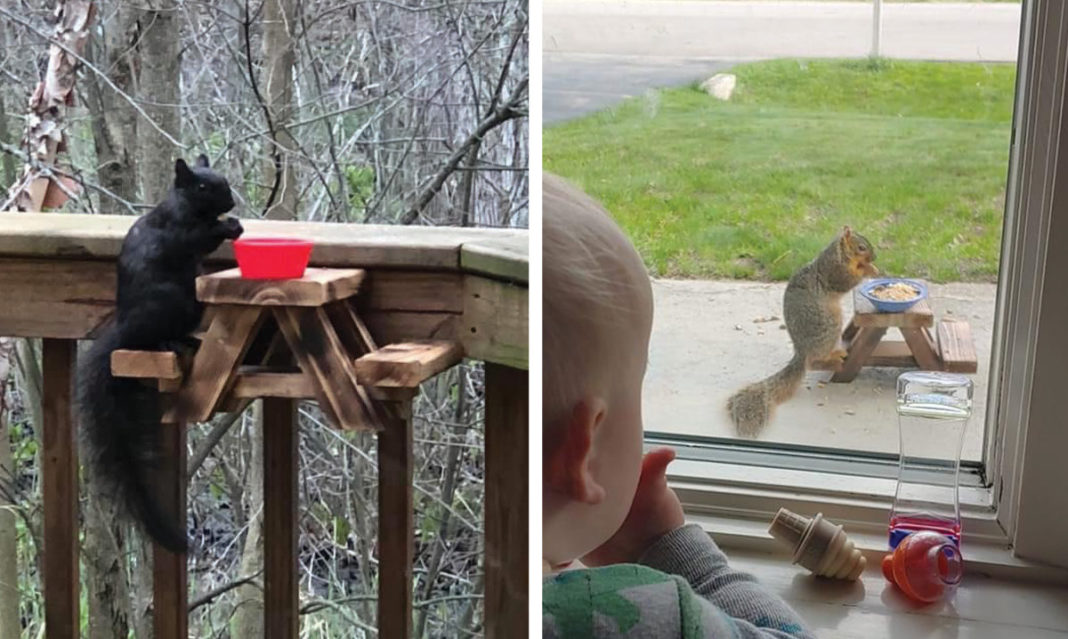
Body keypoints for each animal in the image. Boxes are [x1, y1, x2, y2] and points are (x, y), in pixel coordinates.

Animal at [79, 154, 243, 553]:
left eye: (224, 181)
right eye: (202, 186)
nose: (231, 202)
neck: (188, 208)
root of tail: (124, 329)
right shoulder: (179, 232)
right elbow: (200, 238)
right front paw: (229, 226)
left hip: (192, 302)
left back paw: (190, 342)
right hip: (169, 302)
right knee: (152, 338)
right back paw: (171, 344)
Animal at [726, 226, 878, 437]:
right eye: (862, 247)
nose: (875, 257)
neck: (839, 254)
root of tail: (801, 350)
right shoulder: (833, 271)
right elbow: (847, 280)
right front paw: (868, 269)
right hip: (829, 324)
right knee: (814, 362)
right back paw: (833, 357)